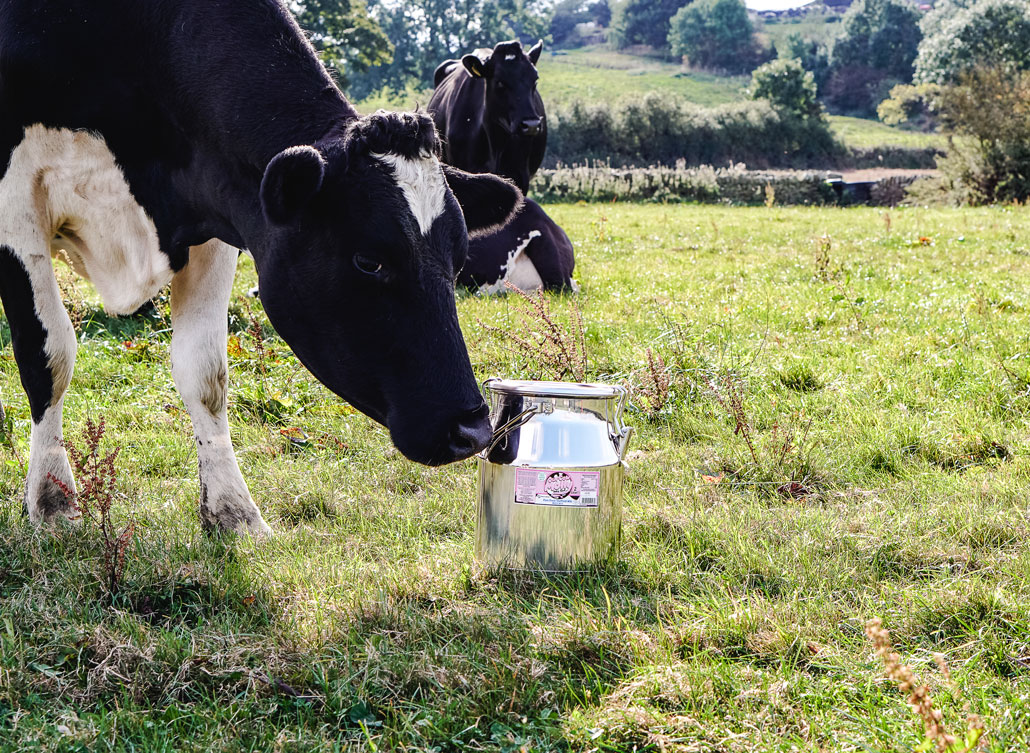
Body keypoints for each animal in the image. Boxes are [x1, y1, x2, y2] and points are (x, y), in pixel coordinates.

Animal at [2, 0, 523, 535]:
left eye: (458, 259)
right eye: (368, 260)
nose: (473, 430)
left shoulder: (214, 206)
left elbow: (205, 371)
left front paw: (234, 512)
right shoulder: (16, 198)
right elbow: (49, 355)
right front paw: (52, 501)